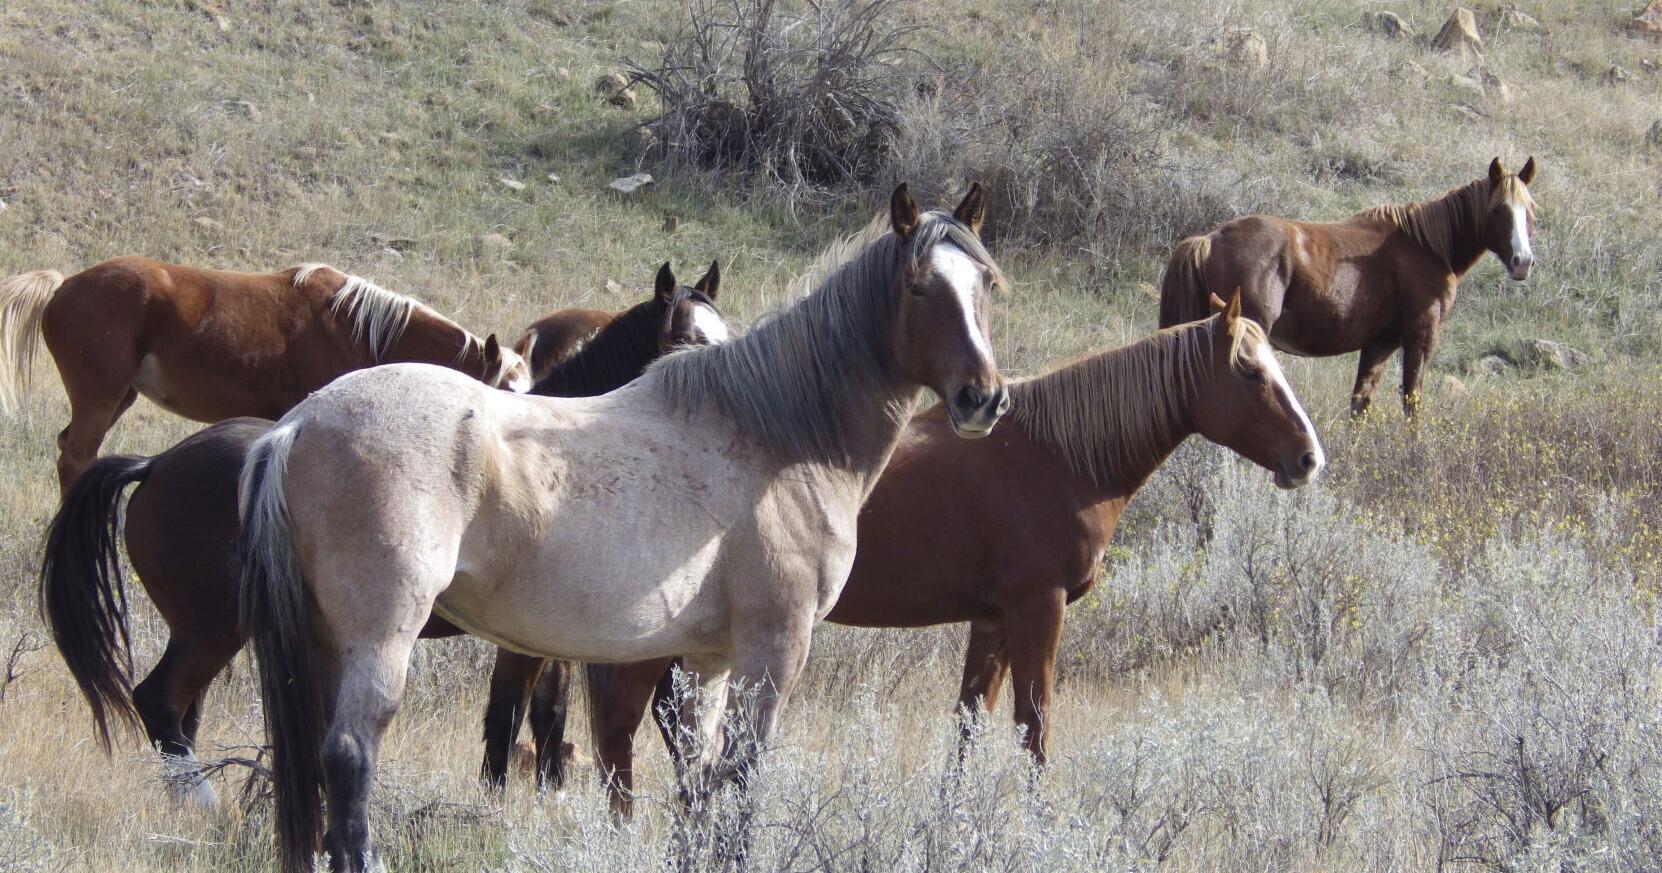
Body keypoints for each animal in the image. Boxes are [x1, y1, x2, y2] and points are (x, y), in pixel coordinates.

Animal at [0, 257, 532, 492]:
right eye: (500, 394)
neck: (359, 328)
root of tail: (63, 285)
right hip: (101, 396)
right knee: (76, 456)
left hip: (117, 398)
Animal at [569, 292, 1324, 815]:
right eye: (1249, 373)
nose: (1308, 458)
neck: (1057, 455)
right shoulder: (1038, 610)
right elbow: (1034, 723)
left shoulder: (992, 620)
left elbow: (970, 723)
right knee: (619, 728)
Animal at [1158, 157, 1538, 417]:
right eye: (1500, 209)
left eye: (1530, 210)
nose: (1523, 261)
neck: (1426, 247)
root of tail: (1209, 240)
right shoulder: (1421, 337)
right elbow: (1412, 402)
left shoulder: (1380, 345)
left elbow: (1361, 404)